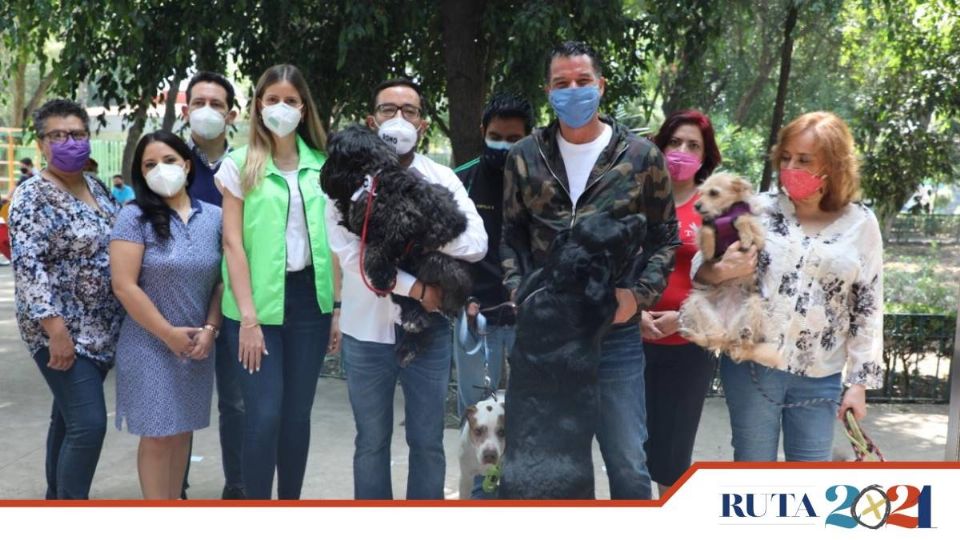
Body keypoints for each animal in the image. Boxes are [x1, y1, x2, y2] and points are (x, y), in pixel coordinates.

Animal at [322, 124, 472, 364]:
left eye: (333, 153)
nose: (323, 172)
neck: (374, 176)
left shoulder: (400, 219)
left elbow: (376, 251)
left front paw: (381, 276)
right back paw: (416, 325)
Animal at [498, 211, 648, 498]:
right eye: (623, 234)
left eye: (612, 214)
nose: (642, 217)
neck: (560, 286)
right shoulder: (609, 305)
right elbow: (625, 279)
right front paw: (646, 251)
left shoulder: (526, 289)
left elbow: (528, 267)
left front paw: (516, 236)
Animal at [680, 172, 784, 368]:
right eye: (701, 192)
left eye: (713, 193)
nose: (696, 206)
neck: (724, 214)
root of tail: (728, 330)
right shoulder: (709, 247)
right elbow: (707, 229)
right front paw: (709, 245)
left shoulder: (759, 240)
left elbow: (742, 218)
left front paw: (744, 236)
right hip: (698, 303)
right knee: (712, 339)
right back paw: (695, 335)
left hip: (754, 303)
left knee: (744, 345)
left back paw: (745, 337)